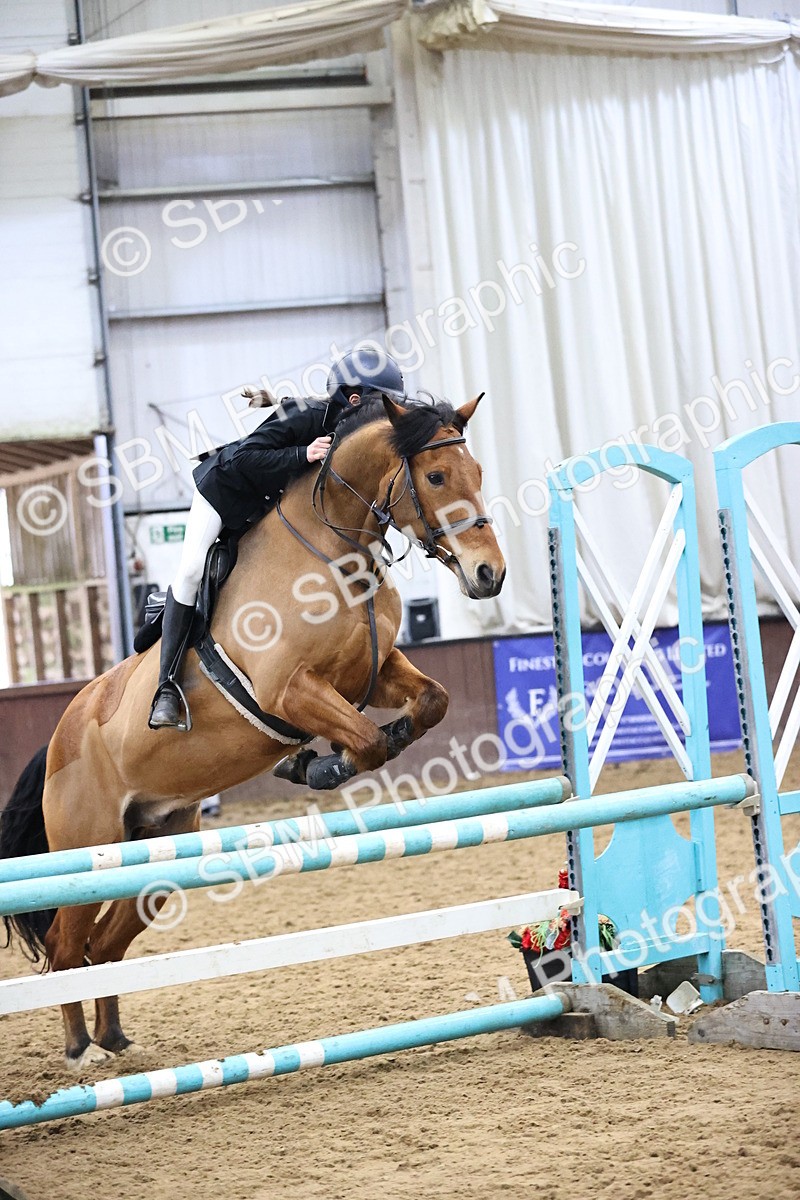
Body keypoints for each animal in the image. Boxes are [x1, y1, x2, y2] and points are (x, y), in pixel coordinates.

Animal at [1, 394, 505, 1070]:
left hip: (157, 846)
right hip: (90, 847)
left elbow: (432, 703)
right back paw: (81, 1050)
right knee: (63, 943)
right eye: (436, 476)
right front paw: (318, 764)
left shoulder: (370, 675)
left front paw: (338, 754)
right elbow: (366, 741)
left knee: (103, 946)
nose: (489, 574)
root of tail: (59, 737)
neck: (330, 551)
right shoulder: (289, 691)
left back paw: (114, 1038)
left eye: (475, 471)